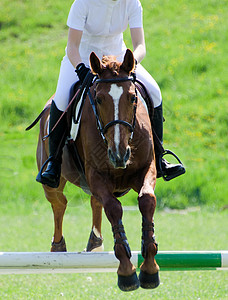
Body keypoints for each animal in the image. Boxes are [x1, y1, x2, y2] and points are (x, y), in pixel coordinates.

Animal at [36, 49, 159, 290]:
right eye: (99, 99)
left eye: (133, 97)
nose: (119, 155)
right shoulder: (95, 175)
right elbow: (114, 208)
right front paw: (127, 271)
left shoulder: (147, 168)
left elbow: (147, 200)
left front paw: (149, 268)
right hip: (52, 180)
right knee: (59, 203)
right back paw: (58, 246)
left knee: (94, 202)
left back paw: (95, 242)